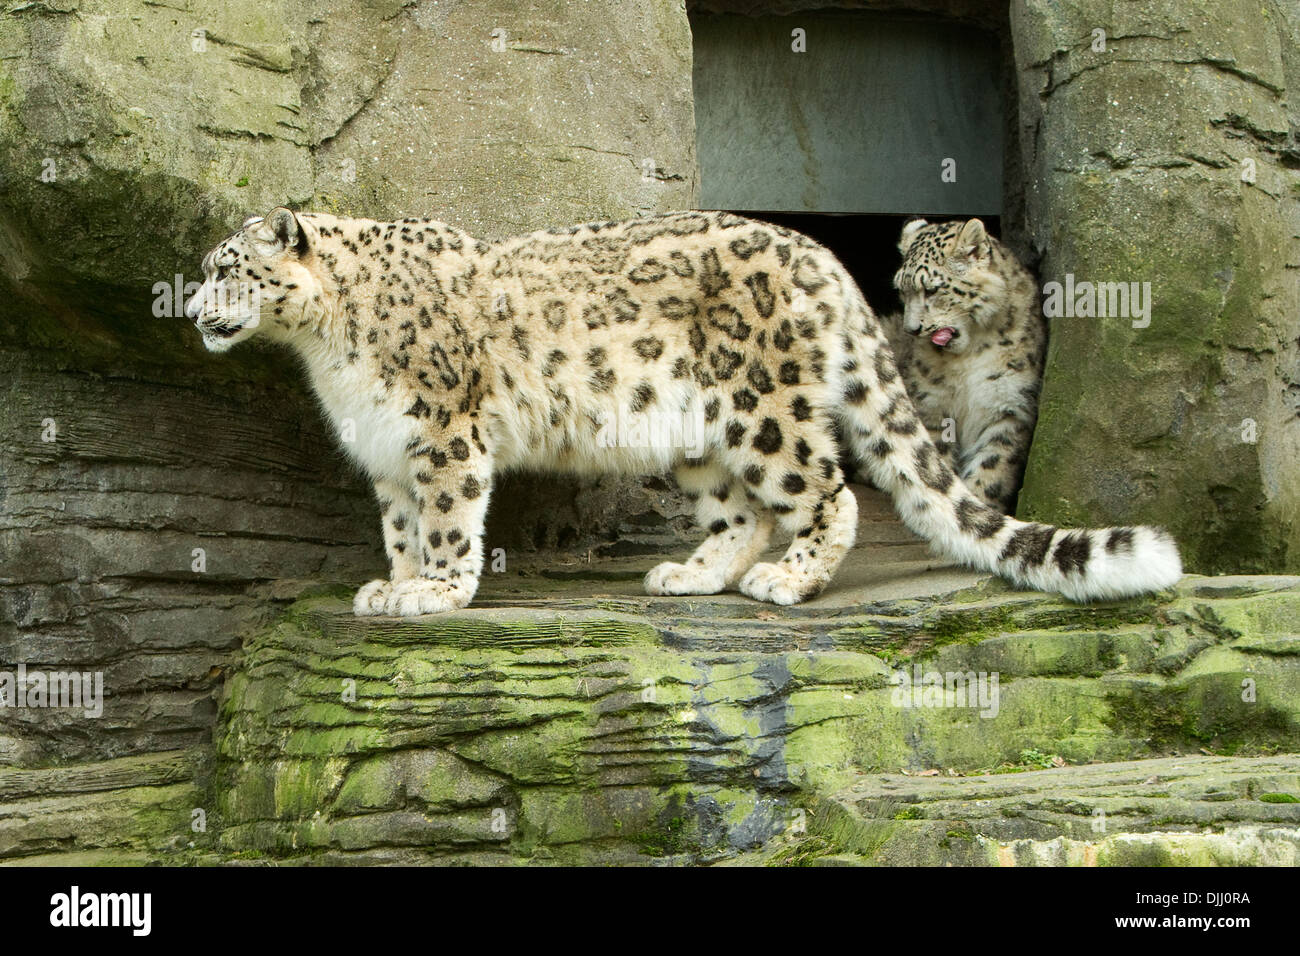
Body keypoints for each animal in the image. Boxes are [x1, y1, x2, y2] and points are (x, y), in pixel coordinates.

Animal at [188, 205, 1185, 616]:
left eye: (228, 269)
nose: (192, 310)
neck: (326, 348)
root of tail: (824, 258)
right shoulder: (389, 446)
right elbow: (399, 523)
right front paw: (392, 584)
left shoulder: (442, 432)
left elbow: (444, 519)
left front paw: (434, 590)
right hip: (695, 430)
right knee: (741, 511)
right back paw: (691, 574)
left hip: (764, 405)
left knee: (827, 492)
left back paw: (790, 581)